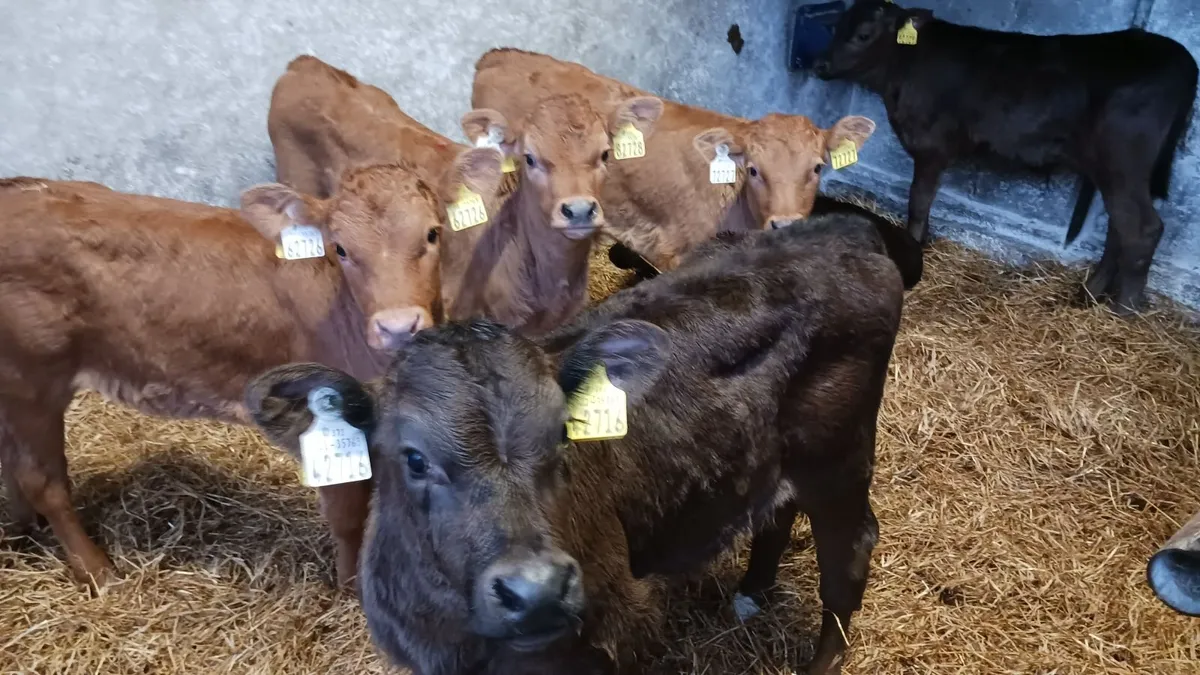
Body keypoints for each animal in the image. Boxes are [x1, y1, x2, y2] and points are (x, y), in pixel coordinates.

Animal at [0, 162, 498, 587]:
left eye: (432, 233)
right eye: (340, 248)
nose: (396, 325)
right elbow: (347, 512)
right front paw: (350, 586)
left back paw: (22, 531)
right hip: (31, 380)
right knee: (43, 480)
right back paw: (97, 571)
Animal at [245, 212, 921, 675]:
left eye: (563, 436)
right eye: (413, 458)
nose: (536, 590)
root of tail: (841, 228)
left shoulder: (624, 625)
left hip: (839, 458)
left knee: (851, 550)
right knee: (775, 512)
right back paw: (751, 594)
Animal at [813, 0, 1199, 314]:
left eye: (863, 34)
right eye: (836, 26)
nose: (821, 64)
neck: (904, 69)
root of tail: (1180, 56)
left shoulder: (931, 145)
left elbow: (919, 200)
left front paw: (917, 242)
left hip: (1123, 160)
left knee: (1143, 229)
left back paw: (1123, 312)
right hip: (1111, 168)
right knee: (1120, 227)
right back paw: (1089, 295)